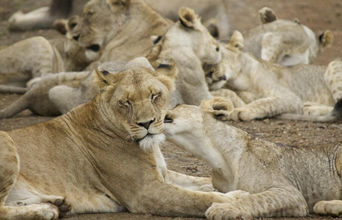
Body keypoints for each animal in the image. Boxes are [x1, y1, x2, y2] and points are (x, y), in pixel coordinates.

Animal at [0, 65, 236, 218]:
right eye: (126, 102)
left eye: (154, 96)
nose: (146, 123)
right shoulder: (146, 192)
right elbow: (197, 199)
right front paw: (233, 200)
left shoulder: (164, 175)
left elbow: (197, 181)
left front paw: (216, 187)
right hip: (6, 141)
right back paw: (44, 210)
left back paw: (56, 204)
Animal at [163, 98, 342, 220]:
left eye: (178, 105)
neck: (220, 160)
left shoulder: (291, 193)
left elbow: (255, 198)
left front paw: (222, 209)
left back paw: (325, 205)